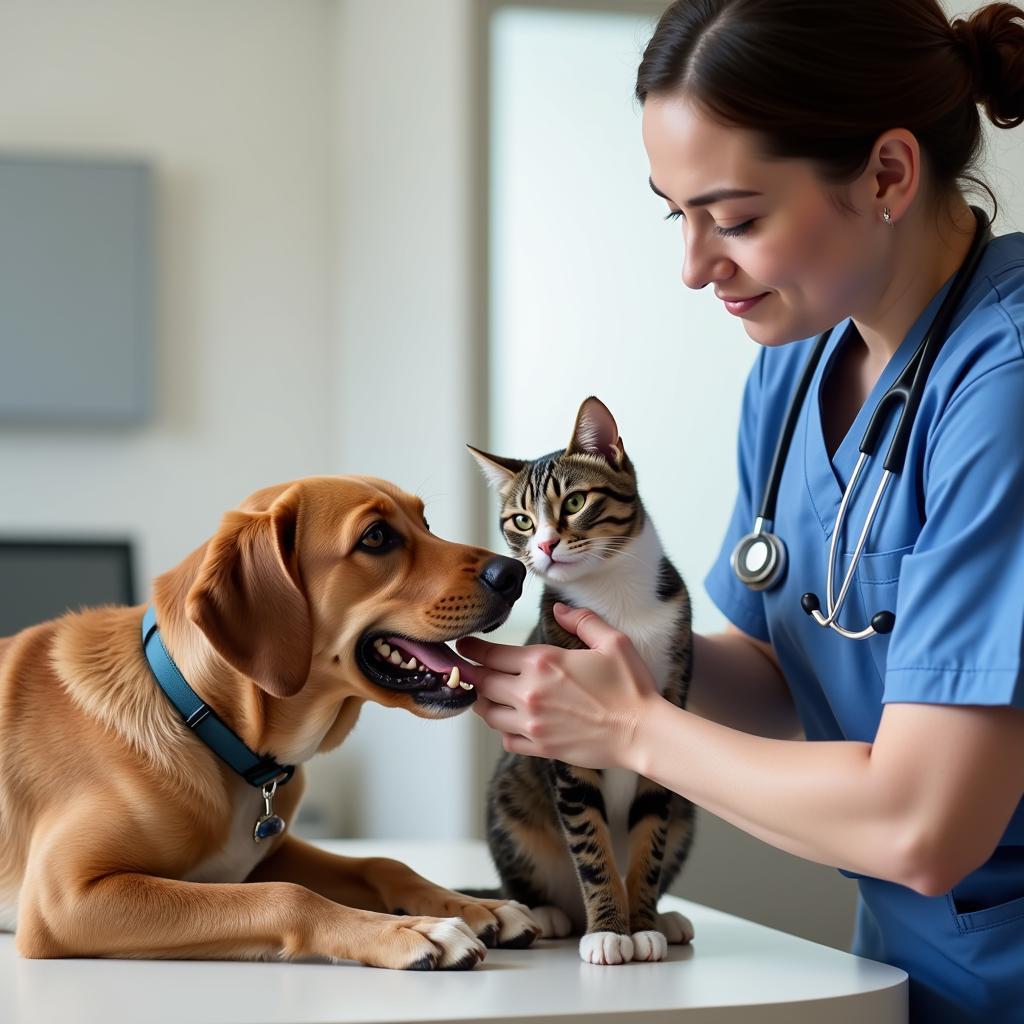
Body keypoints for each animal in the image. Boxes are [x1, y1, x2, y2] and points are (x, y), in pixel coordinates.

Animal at [0, 473, 544, 966]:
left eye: (425, 523)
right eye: (375, 537)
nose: (514, 573)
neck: (202, 721)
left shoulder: (273, 852)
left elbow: (382, 861)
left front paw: (475, 905)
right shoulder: (64, 896)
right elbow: (286, 894)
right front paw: (415, 930)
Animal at [468, 395, 696, 962]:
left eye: (574, 502)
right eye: (521, 520)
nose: (546, 546)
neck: (614, 595)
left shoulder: (671, 692)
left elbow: (650, 834)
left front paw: (643, 926)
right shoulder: (565, 747)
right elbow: (590, 844)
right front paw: (610, 932)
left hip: (687, 813)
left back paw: (667, 917)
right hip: (511, 796)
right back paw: (548, 913)